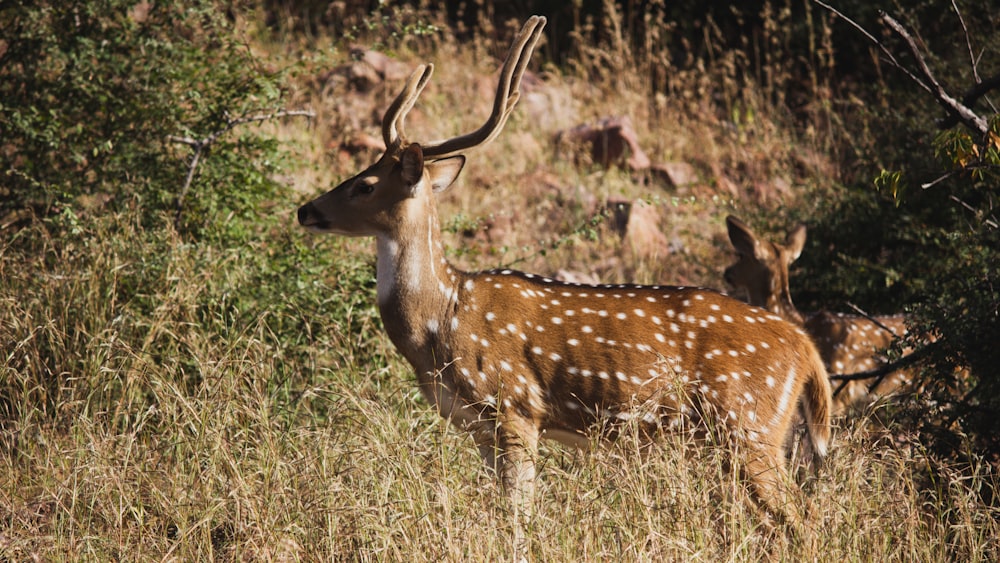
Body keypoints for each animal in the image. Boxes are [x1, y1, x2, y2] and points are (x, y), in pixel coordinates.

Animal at [296, 17, 836, 552]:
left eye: (364, 185)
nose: (305, 209)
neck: (442, 321)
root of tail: (805, 349)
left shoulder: (515, 405)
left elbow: (516, 519)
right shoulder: (480, 428)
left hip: (749, 424)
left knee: (806, 519)